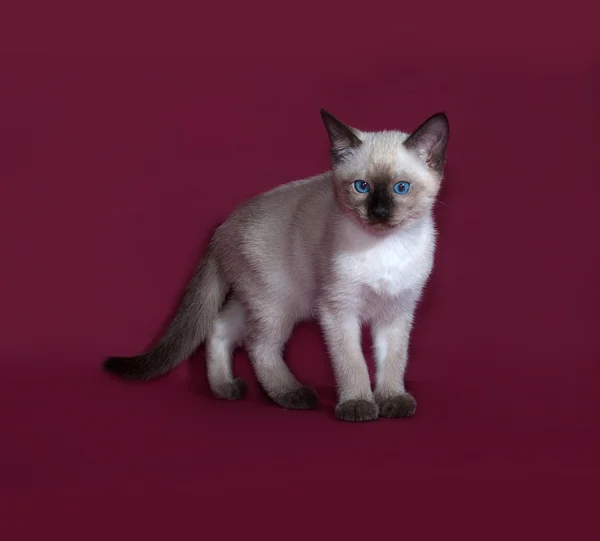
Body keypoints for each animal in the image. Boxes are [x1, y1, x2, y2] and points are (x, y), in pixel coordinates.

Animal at [104, 109, 450, 422]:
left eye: (400, 188)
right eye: (361, 187)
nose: (378, 212)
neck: (383, 246)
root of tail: (222, 228)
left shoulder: (397, 310)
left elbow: (393, 360)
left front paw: (392, 400)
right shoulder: (338, 309)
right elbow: (352, 363)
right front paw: (358, 404)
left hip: (265, 300)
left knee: (219, 326)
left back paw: (225, 388)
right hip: (278, 302)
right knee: (257, 345)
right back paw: (292, 394)